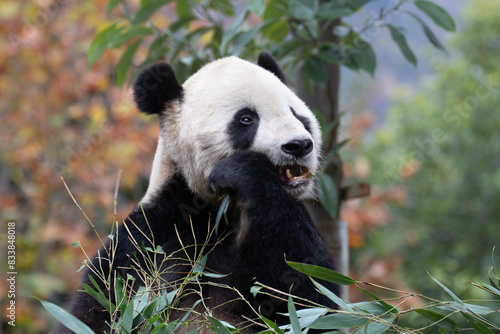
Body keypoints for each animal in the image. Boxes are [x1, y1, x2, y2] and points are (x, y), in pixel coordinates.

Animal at [54, 52, 340, 334]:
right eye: (246, 118)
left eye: (297, 115)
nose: (298, 145)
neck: (216, 210)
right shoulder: (147, 238)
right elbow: (96, 308)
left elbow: (307, 295)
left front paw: (243, 172)